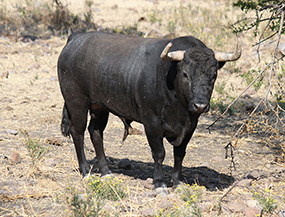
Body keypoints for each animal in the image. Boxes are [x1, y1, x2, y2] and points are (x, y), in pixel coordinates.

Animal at [57, 31, 240, 189]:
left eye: (214, 75)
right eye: (185, 74)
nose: (200, 105)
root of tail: (77, 37)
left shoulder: (190, 126)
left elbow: (179, 153)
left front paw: (177, 181)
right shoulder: (151, 124)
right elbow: (159, 153)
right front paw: (159, 183)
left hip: (100, 106)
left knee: (95, 132)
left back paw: (106, 172)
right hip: (77, 101)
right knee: (77, 132)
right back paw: (85, 171)